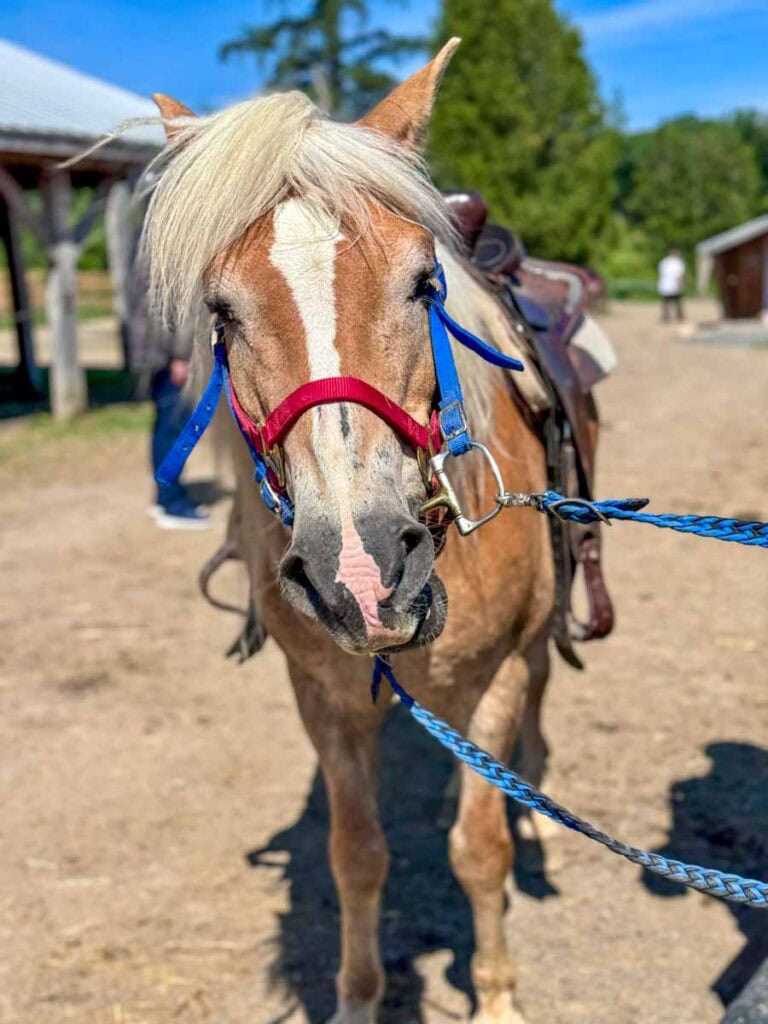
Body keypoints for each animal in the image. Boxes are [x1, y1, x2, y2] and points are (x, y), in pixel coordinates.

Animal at [144, 39, 557, 1024]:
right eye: (221, 313)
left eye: (423, 282)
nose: (361, 575)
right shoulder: (322, 700)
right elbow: (357, 858)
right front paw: (361, 997)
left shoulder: (495, 678)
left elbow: (480, 854)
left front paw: (497, 995)